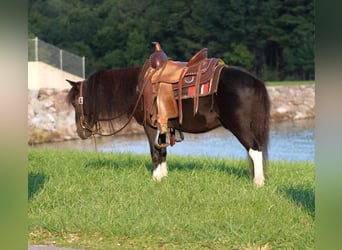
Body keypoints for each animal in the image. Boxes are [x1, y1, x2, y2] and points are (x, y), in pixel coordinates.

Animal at [67, 64, 270, 186]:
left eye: (75, 102)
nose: (80, 132)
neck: (138, 88)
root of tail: (256, 82)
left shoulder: (150, 127)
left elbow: (155, 151)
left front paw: (156, 177)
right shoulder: (162, 126)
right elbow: (163, 151)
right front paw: (164, 177)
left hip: (239, 125)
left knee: (254, 149)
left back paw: (258, 182)